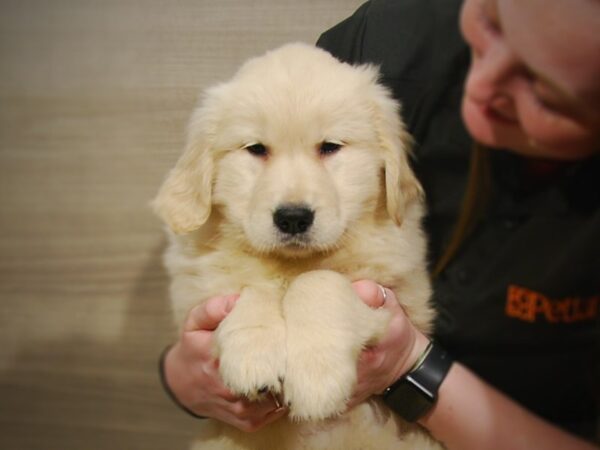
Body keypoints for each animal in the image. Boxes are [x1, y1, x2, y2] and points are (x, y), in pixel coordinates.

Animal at [155, 43, 442, 450]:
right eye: (256, 149)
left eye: (330, 147)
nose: (292, 218)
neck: (291, 264)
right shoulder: (194, 290)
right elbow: (251, 286)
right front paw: (252, 355)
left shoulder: (398, 296)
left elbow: (320, 281)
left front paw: (317, 377)